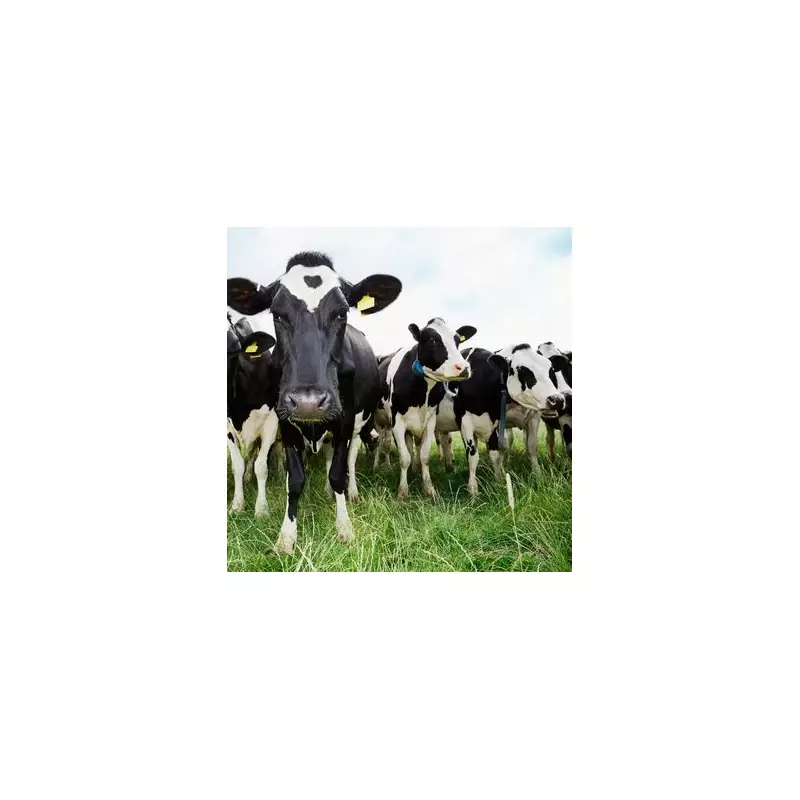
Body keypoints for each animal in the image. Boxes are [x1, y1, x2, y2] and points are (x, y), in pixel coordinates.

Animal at [226, 314, 279, 515]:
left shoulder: (272, 422)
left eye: (233, 351)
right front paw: (237, 504)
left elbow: (261, 466)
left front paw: (261, 509)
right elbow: (237, 465)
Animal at [379, 319, 477, 498]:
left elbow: (424, 455)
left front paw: (429, 488)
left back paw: (415, 469)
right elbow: (404, 457)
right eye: (432, 340)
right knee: (387, 445)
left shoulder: (430, 421)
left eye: (458, 340)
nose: (464, 367)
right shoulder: (397, 422)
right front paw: (403, 491)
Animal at [435, 344, 566, 494]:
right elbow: (473, 456)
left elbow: (523, 448)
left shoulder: (518, 420)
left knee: (445, 440)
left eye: (551, 370)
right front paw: (473, 491)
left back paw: (449, 466)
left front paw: (502, 480)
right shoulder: (465, 422)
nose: (557, 399)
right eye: (522, 370)